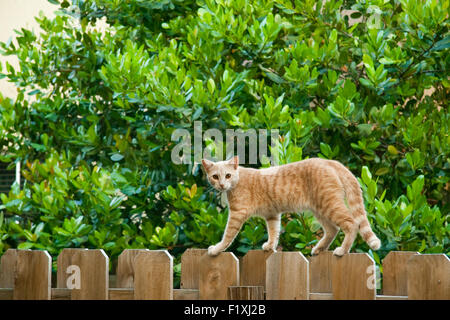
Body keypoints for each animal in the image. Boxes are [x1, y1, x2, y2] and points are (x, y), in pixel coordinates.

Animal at [202, 156, 382, 256]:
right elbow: (274, 232)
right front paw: (270, 246)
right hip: (320, 209)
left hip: (330, 205)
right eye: (215, 177)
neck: (237, 181)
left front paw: (216, 249)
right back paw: (319, 248)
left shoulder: (237, 214)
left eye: (228, 175)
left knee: (352, 224)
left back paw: (342, 250)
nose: (222, 185)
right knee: (333, 230)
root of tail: (329, 161)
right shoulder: (272, 215)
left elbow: (227, 236)